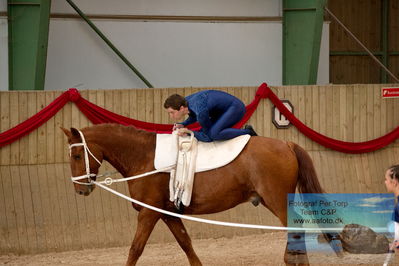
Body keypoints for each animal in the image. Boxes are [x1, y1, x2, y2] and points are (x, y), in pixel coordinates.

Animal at [61, 123, 324, 264]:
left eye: (77, 156)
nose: (80, 189)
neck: (143, 157)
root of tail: (286, 144)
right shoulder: (167, 213)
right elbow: (185, 243)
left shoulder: (148, 213)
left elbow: (136, 248)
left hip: (277, 199)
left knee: (295, 229)